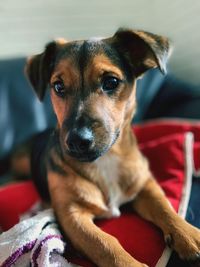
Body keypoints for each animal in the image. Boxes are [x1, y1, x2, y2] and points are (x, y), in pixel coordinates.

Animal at [25, 28, 200, 266]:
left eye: (111, 82)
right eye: (58, 86)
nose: (77, 141)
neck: (106, 159)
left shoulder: (145, 184)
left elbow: (165, 207)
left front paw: (189, 234)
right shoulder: (71, 214)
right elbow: (105, 243)